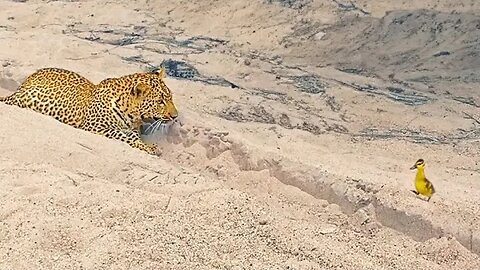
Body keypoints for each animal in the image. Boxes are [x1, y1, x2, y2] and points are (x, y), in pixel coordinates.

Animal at [0, 67, 178, 154]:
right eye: (160, 102)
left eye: (171, 97)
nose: (175, 116)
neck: (132, 115)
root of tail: (21, 86)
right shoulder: (94, 127)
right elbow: (120, 135)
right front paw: (151, 148)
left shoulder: (133, 129)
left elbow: (133, 137)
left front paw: (147, 146)